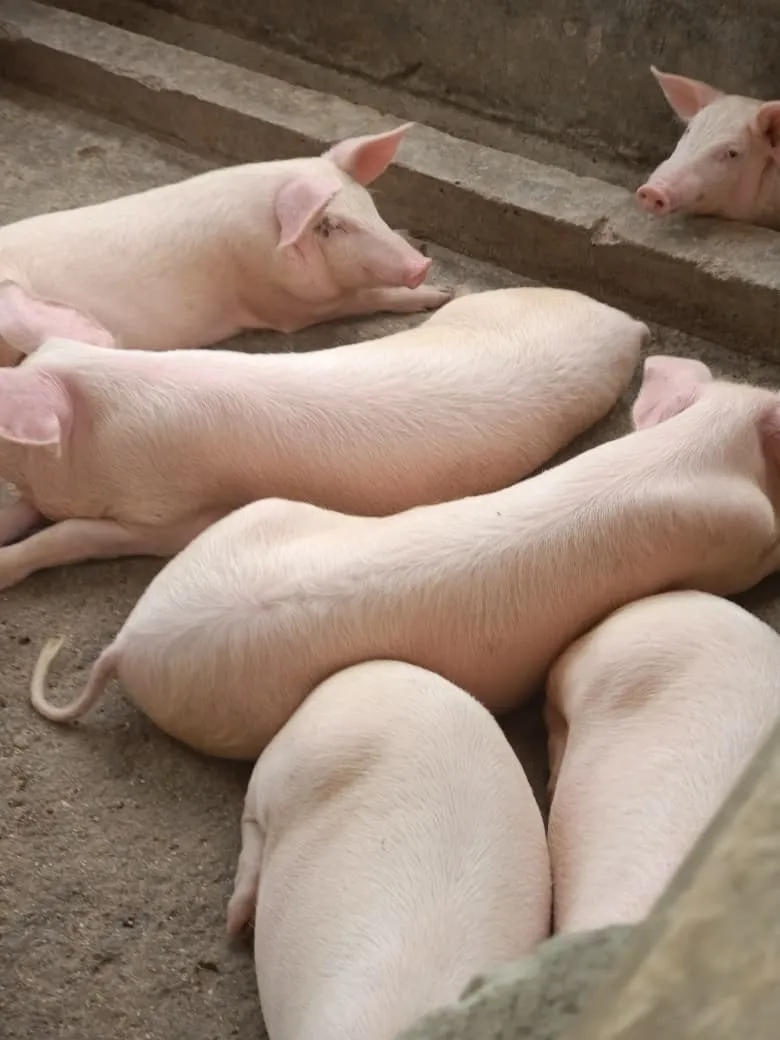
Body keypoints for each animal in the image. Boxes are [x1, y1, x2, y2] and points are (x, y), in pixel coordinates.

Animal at [0, 123, 446, 367]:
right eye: (329, 226)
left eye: (369, 204)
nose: (420, 264)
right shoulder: (282, 304)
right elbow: (365, 297)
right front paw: (442, 295)